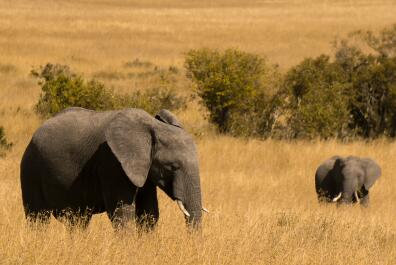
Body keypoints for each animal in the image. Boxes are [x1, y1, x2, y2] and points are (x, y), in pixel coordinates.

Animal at [20, 107, 207, 229]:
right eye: (172, 166)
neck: (152, 127)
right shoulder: (112, 164)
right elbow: (122, 213)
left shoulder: (143, 168)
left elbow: (149, 213)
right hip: (30, 169)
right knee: (38, 217)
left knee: (79, 220)